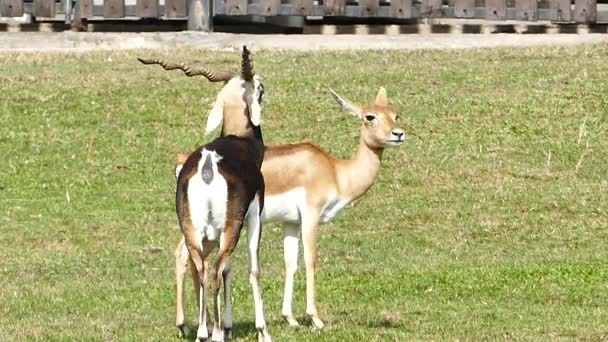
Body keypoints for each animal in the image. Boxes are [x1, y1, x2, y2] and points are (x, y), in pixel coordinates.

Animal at [173, 83, 406, 332]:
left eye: (394, 114)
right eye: (370, 116)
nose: (398, 134)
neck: (335, 171)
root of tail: (187, 163)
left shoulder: (291, 221)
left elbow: (291, 262)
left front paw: (290, 318)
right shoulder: (311, 216)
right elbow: (310, 260)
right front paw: (315, 318)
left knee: (189, 257)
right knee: (187, 256)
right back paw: (191, 324)